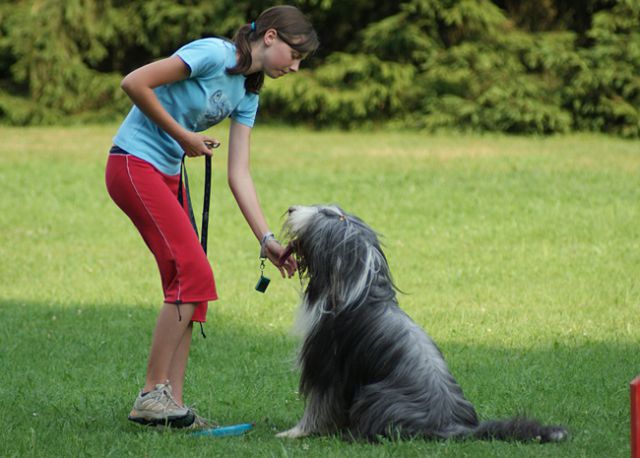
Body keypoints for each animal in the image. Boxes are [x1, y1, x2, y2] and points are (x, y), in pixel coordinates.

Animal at [278, 206, 568, 442]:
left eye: (324, 212)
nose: (291, 208)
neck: (359, 287)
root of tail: (452, 424)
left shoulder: (328, 365)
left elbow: (318, 406)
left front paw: (294, 432)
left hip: (375, 395)